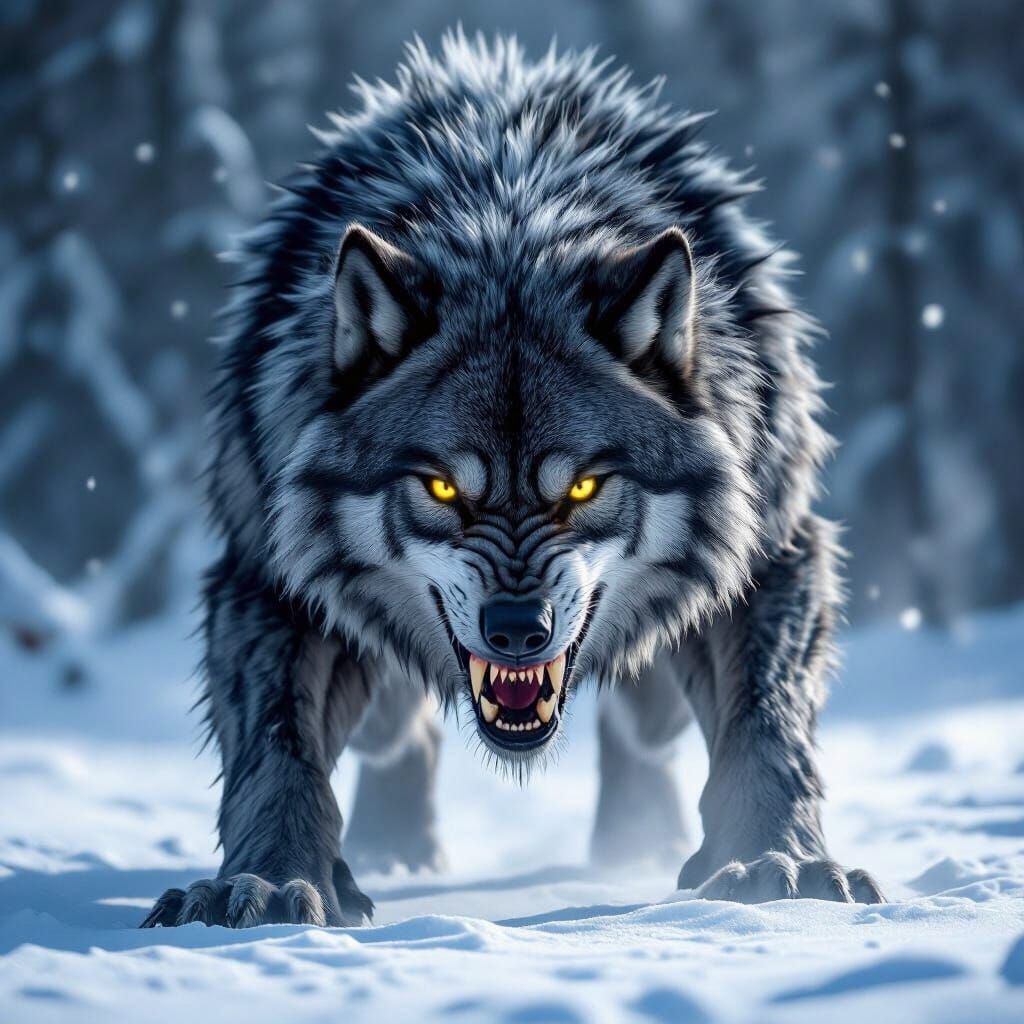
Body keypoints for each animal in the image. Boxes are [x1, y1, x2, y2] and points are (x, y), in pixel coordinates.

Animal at [143, 33, 882, 929]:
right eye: (442, 491)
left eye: (583, 490)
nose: (519, 630)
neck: (511, 222)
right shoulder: (266, 577)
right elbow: (277, 750)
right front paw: (264, 882)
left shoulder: (773, 551)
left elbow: (766, 726)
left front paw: (782, 863)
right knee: (399, 734)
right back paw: (399, 851)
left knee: (643, 729)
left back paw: (640, 841)